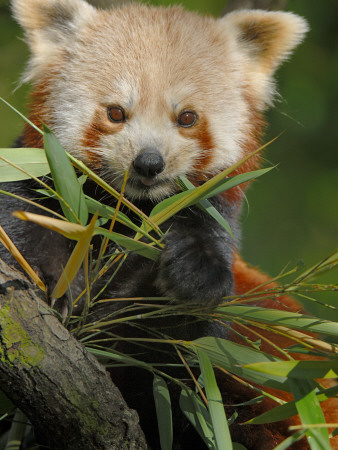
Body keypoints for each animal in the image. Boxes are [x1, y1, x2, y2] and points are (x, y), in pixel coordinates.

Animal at [1, 0, 336, 448]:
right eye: (116, 113)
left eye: (187, 117)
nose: (148, 162)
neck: (132, 213)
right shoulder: (40, 183)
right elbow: (23, 231)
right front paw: (51, 280)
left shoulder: (206, 219)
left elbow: (179, 338)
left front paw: (192, 276)